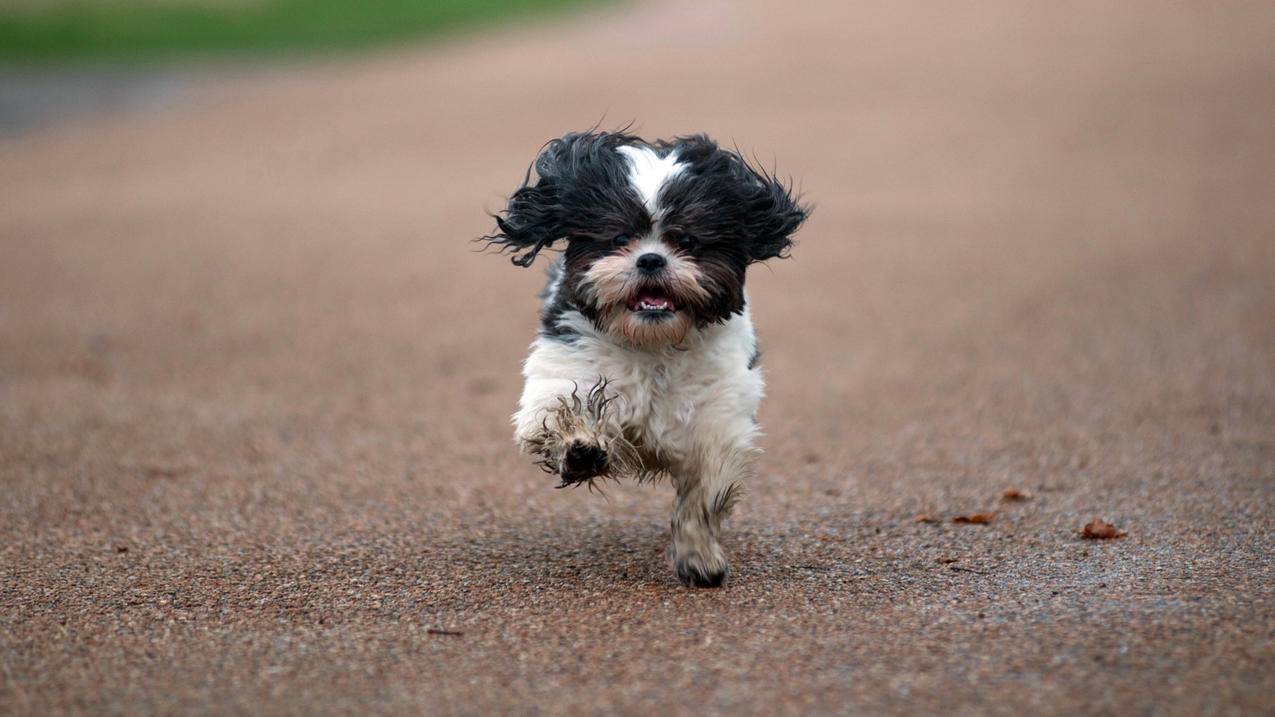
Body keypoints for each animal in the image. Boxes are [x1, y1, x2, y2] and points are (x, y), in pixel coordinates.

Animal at [481, 129, 810, 586]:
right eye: (620, 238)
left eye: (685, 239)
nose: (651, 258)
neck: (653, 344)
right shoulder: (565, 364)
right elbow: (561, 410)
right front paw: (581, 448)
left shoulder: (719, 415)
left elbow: (704, 490)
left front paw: (699, 559)